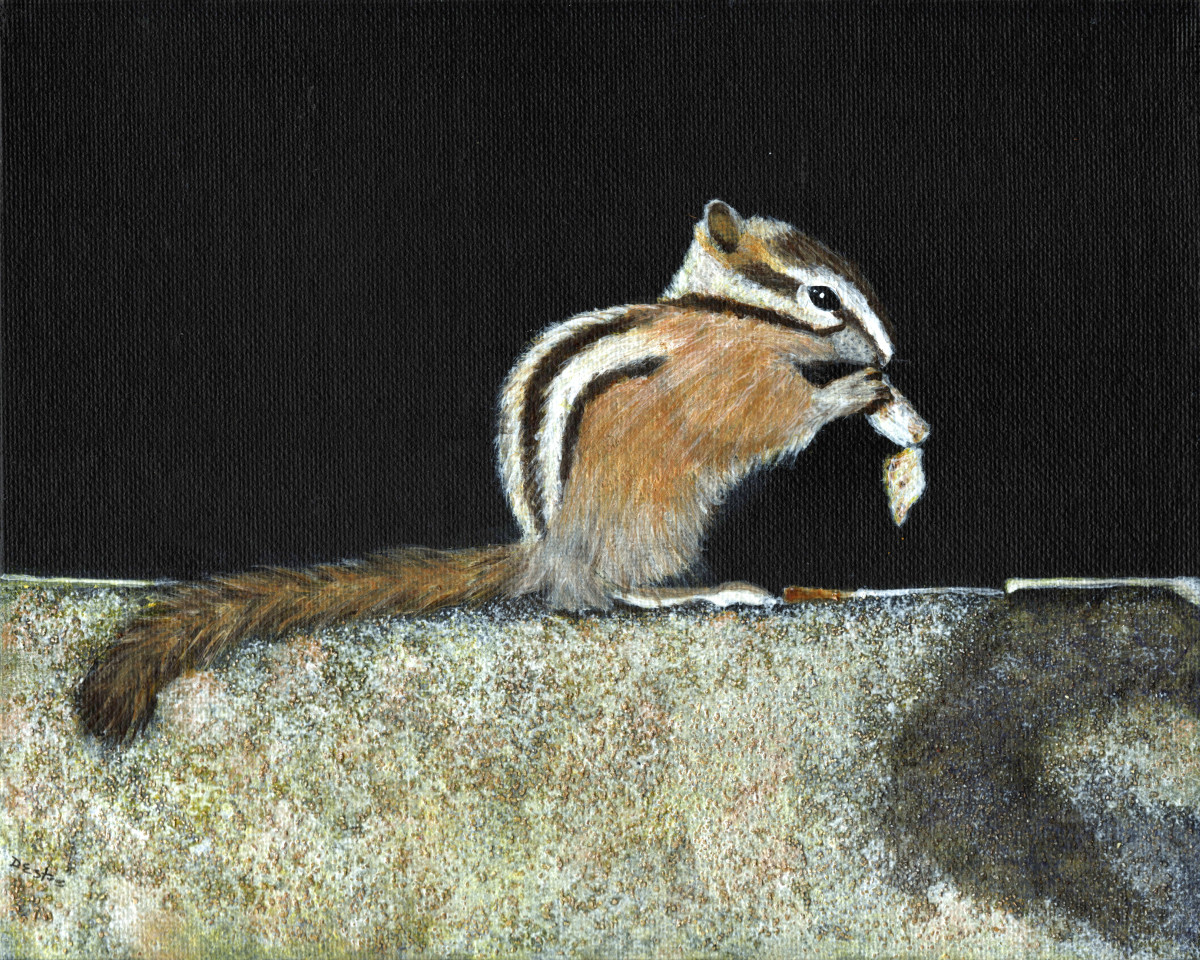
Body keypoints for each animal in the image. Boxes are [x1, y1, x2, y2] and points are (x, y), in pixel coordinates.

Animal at [75, 199, 898, 741]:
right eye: (822, 296)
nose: (889, 354)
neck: (732, 314)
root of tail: (551, 552)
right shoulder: (727, 377)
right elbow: (770, 417)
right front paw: (854, 394)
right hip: (659, 515)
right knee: (604, 593)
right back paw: (701, 591)